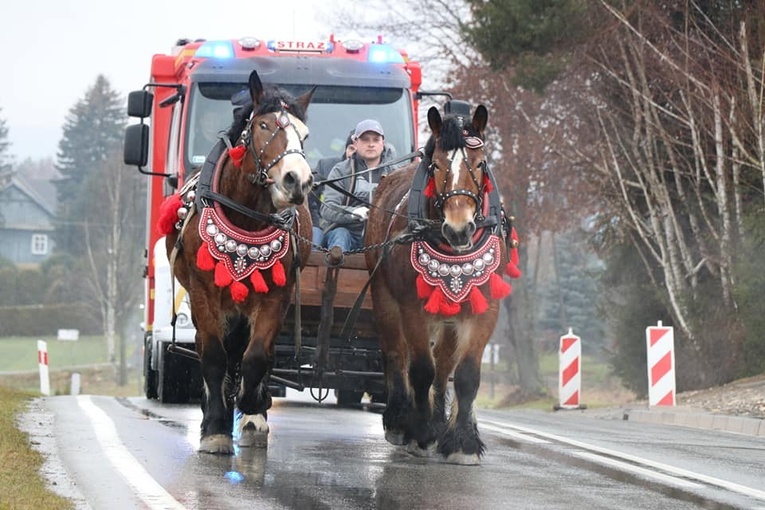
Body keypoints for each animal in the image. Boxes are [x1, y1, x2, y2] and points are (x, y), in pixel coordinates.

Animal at [158, 68, 314, 454]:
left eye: (304, 134)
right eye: (263, 125)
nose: (297, 180)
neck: (245, 217)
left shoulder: (277, 295)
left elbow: (256, 357)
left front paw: (251, 406)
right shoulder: (203, 293)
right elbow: (214, 357)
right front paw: (215, 427)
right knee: (212, 349)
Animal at [366, 105, 520, 464]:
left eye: (480, 163)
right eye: (436, 165)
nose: (459, 229)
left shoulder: (484, 310)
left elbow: (465, 375)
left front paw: (462, 443)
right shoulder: (413, 309)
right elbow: (421, 369)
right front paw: (421, 434)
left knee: (444, 365)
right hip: (384, 299)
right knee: (397, 355)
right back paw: (401, 421)